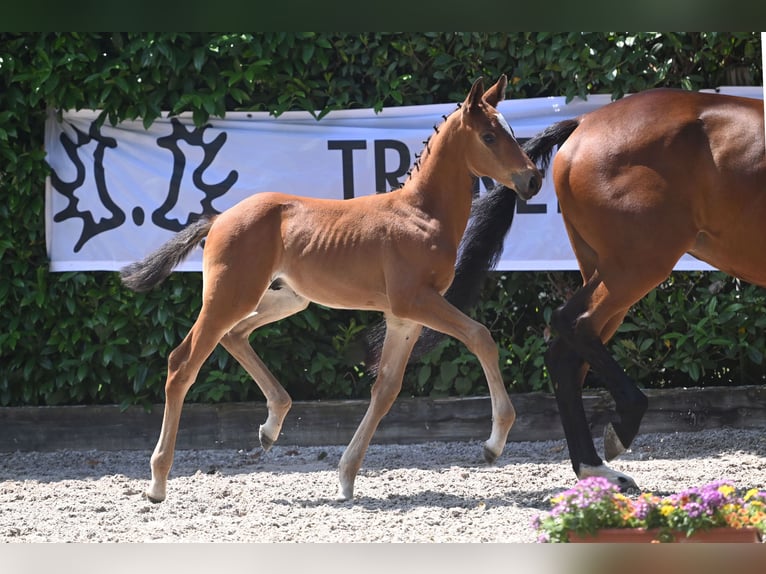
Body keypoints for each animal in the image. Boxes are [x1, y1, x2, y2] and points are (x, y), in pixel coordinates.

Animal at [120, 75, 544, 504]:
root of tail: (220, 218)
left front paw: (346, 477)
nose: (533, 179)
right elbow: (480, 336)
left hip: (286, 299)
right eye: (489, 136)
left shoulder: (402, 317)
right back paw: (157, 482)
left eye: (510, 131)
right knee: (182, 363)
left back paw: (271, 427)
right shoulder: (416, 300)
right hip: (229, 296)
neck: (421, 213)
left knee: (235, 335)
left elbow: (386, 388)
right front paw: (493, 444)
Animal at [432, 89, 766, 490]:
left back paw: (595, 468)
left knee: (567, 351)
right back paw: (621, 430)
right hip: (638, 266)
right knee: (572, 324)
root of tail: (585, 123)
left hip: (608, 271)